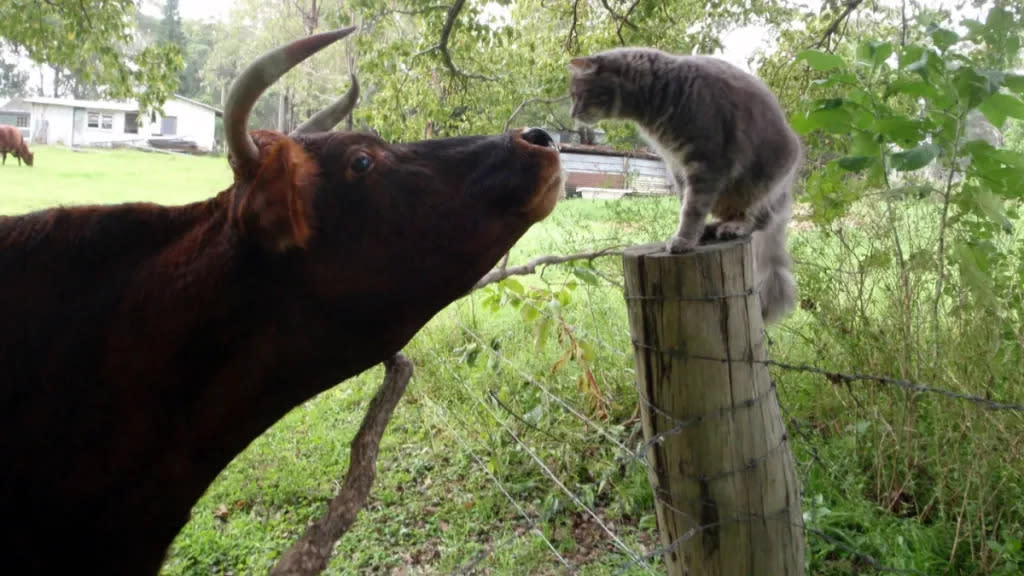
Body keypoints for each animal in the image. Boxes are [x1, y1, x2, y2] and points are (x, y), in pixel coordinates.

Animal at [569, 47, 798, 325]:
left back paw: (734, 226)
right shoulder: (676, 166)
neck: (657, 96)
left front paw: (685, 239)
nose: (572, 114)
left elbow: (692, 208)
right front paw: (690, 234)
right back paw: (713, 227)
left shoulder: (705, 163)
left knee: (759, 219)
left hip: (758, 185)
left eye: (578, 95)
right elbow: (684, 204)